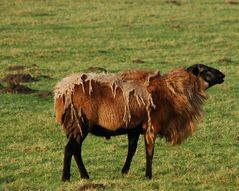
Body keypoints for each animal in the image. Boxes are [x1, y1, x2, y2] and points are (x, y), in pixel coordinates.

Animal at [53, 64, 224, 181]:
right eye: (205, 70)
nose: (223, 75)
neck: (172, 91)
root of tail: (62, 91)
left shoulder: (134, 129)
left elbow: (132, 150)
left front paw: (124, 171)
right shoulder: (151, 126)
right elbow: (149, 152)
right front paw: (148, 176)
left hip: (76, 127)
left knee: (75, 150)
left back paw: (84, 176)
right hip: (80, 124)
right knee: (70, 149)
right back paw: (66, 178)